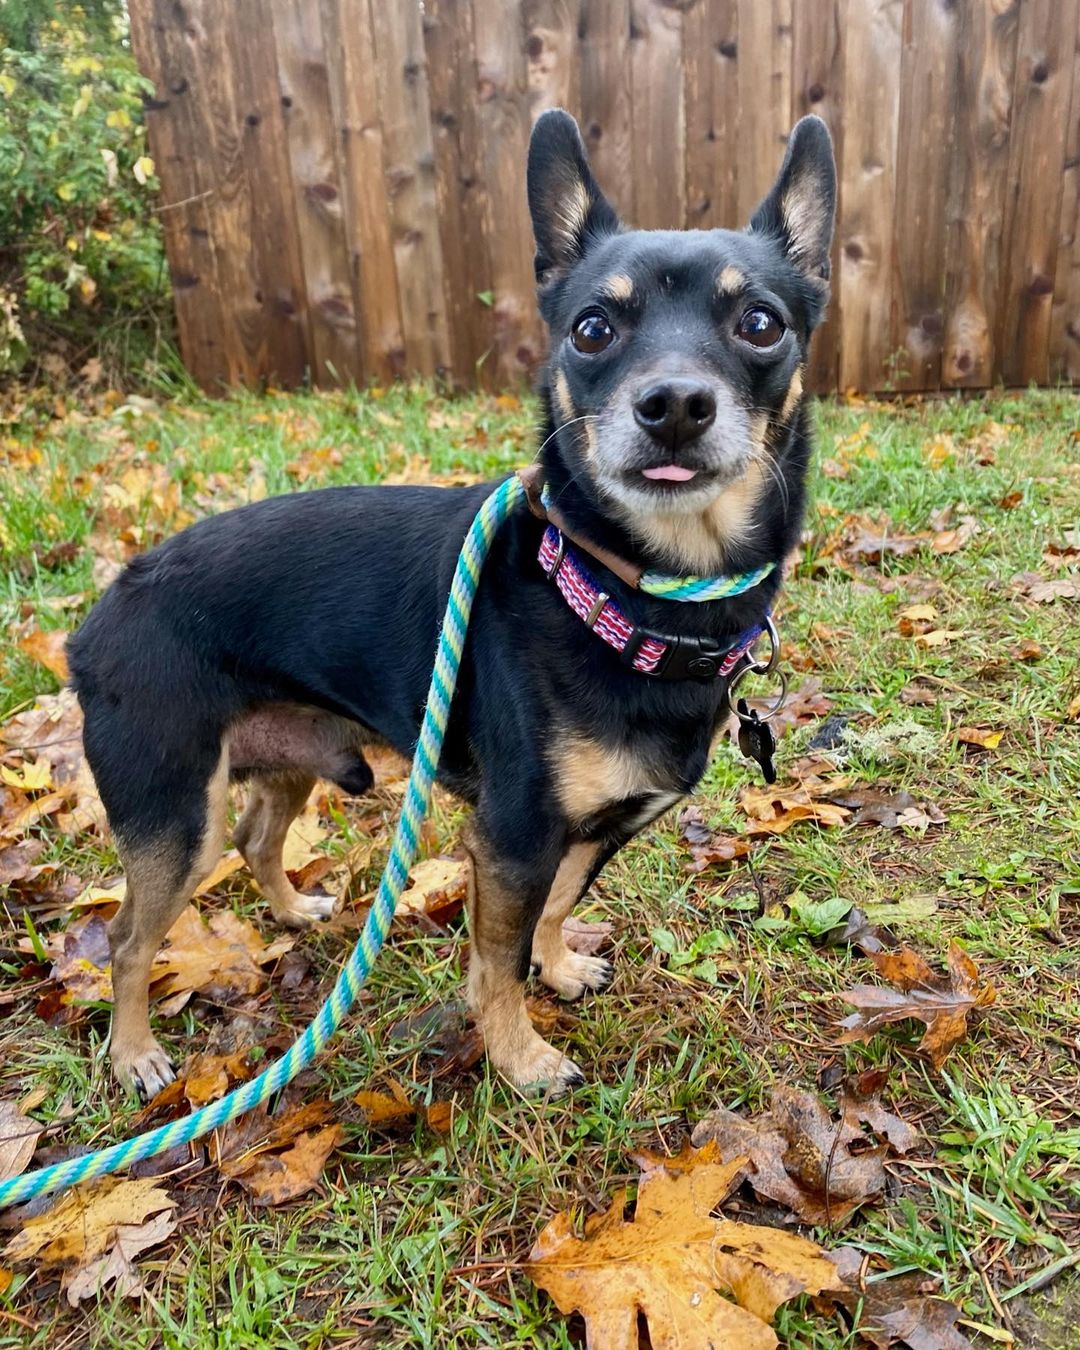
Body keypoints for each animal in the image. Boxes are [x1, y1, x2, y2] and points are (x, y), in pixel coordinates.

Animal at [69, 105, 837, 1096]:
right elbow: (495, 961)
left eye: (760, 323)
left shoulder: (589, 830)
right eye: (592, 329)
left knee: (255, 838)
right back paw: (133, 1053)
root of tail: (95, 621)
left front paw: (560, 968)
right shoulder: (512, 834)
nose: (672, 404)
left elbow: (554, 909)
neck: (626, 598)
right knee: (129, 939)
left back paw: (295, 911)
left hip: (287, 758)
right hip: (172, 817)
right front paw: (519, 1056)